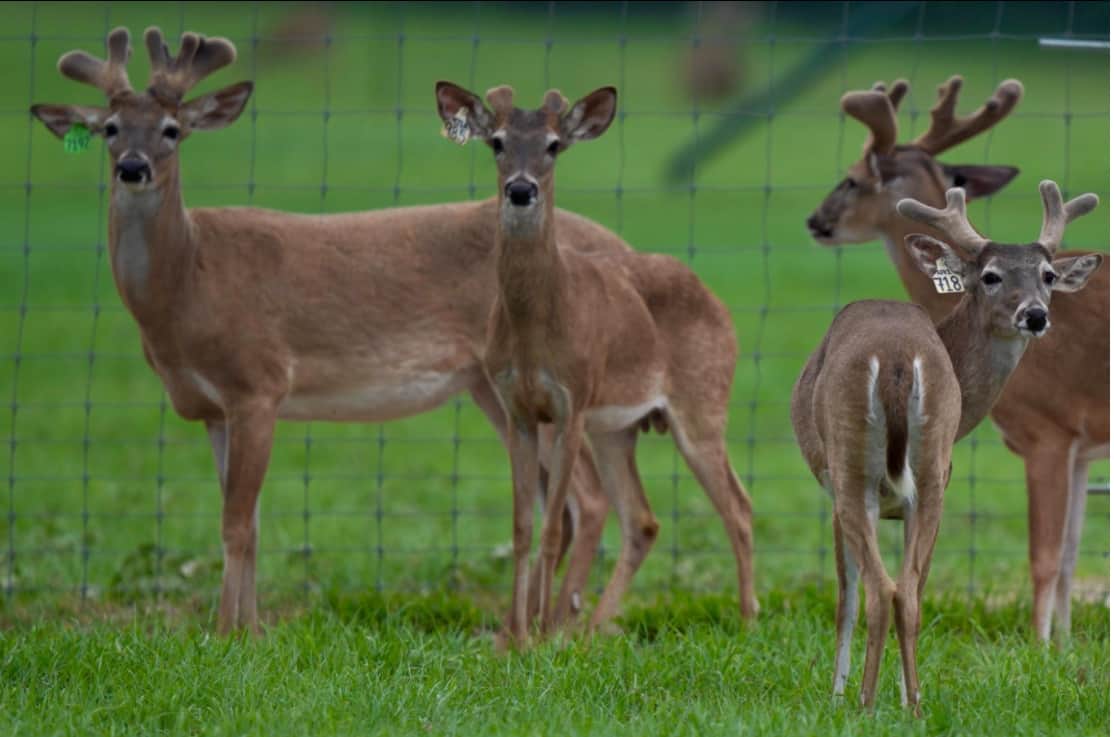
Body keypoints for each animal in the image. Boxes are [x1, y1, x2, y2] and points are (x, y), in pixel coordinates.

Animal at [29, 26, 652, 635]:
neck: (187, 283)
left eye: (171, 130)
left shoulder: (257, 383)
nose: (132, 167)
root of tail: (626, 250)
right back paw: (526, 627)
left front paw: (227, 633)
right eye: (110, 128)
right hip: (493, 389)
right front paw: (253, 631)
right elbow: (251, 523)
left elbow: (235, 524)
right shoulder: (213, 409)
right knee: (568, 505)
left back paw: (558, 629)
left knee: (590, 501)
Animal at [434, 81, 758, 643]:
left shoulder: (573, 402)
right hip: (618, 429)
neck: (536, 329)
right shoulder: (519, 410)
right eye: (497, 141)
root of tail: (717, 302)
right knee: (643, 519)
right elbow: (522, 527)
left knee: (737, 506)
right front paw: (515, 639)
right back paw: (592, 631)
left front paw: (538, 635)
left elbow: (553, 525)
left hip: (702, 403)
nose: (521, 190)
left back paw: (747, 619)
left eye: (553, 145)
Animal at [792, 181, 1102, 713]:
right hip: (930, 475)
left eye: (1047, 275)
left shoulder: (836, 489)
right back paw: (914, 704)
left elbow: (845, 598)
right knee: (908, 592)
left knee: (879, 589)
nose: (1035, 314)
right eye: (991, 275)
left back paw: (866, 703)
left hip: (852, 469)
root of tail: (897, 359)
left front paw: (837, 693)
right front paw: (898, 689)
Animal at [805, 75, 1110, 643]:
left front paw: (1038, 646)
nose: (816, 221)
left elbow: (1045, 557)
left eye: (852, 179)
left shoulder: (1048, 429)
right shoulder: (1081, 448)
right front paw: (1064, 644)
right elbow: (1071, 554)